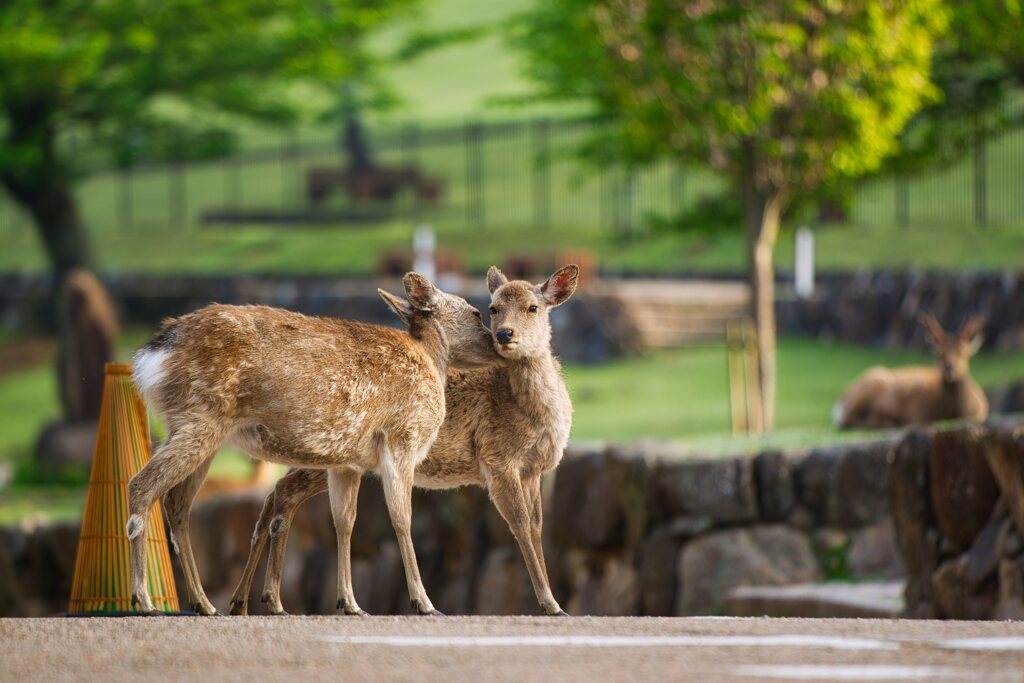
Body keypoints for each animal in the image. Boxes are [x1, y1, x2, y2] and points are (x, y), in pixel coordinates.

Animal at [128, 274, 495, 618]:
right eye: (477, 313)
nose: (498, 342)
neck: (430, 361)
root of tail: (148, 358)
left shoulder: (348, 463)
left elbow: (344, 522)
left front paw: (350, 603)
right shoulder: (402, 438)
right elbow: (402, 519)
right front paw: (425, 603)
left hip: (192, 428)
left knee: (177, 503)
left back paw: (204, 603)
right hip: (200, 418)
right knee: (142, 485)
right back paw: (145, 600)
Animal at [229, 264, 581, 618]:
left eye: (533, 307)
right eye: (492, 308)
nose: (504, 335)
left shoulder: (534, 470)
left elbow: (537, 527)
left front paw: (552, 602)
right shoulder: (497, 458)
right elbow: (520, 525)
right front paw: (551, 603)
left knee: (280, 492)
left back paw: (255, 600)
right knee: (283, 492)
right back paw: (257, 599)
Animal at [831, 313, 991, 430]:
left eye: (963, 352)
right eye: (938, 353)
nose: (949, 368)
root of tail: (840, 402)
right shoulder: (916, 411)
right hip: (866, 390)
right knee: (846, 421)